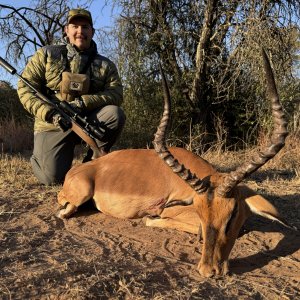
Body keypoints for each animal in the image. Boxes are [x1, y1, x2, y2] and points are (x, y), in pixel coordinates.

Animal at [57, 49, 296, 276]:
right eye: (200, 213)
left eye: (232, 215)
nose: (210, 270)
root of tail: (80, 170)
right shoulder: (172, 209)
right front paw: (151, 219)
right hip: (80, 194)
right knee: (64, 209)